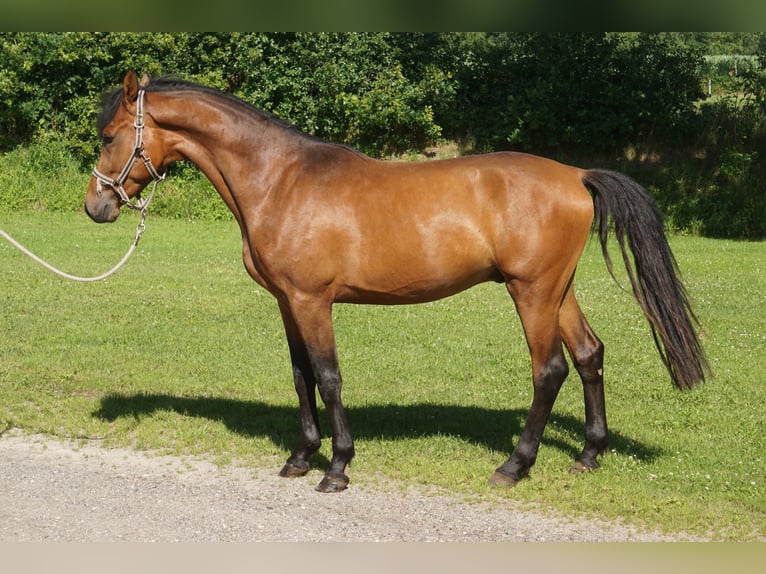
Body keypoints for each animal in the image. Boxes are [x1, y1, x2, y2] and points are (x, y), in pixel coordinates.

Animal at [85, 71, 709, 492]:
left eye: (110, 136)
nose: (96, 207)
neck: (280, 180)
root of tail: (576, 175)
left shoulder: (313, 301)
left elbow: (328, 377)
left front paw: (337, 467)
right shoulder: (288, 302)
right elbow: (300, 376)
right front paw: (300, 458)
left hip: (531, 292)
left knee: (549, 369)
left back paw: (514, 465)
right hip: (559, 290)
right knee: (589, 354)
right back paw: (588, 454)